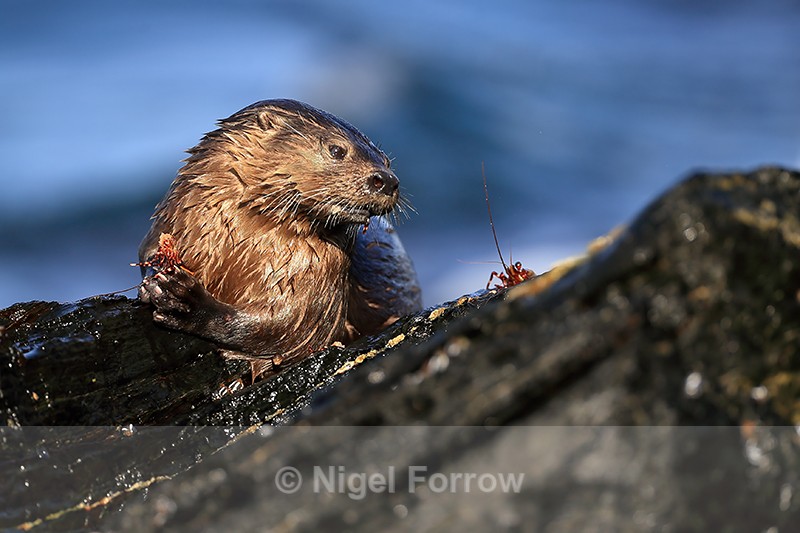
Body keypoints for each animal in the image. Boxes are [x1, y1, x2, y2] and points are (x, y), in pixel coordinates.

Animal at [137, 99, 422, 378]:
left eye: (386, 161)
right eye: (337, 150)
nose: (386, 180)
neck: (239, 246)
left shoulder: (320, 271)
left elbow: (289, 328)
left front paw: (187, 303)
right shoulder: (176, 218)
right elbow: (147, 250)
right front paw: (155, 280)